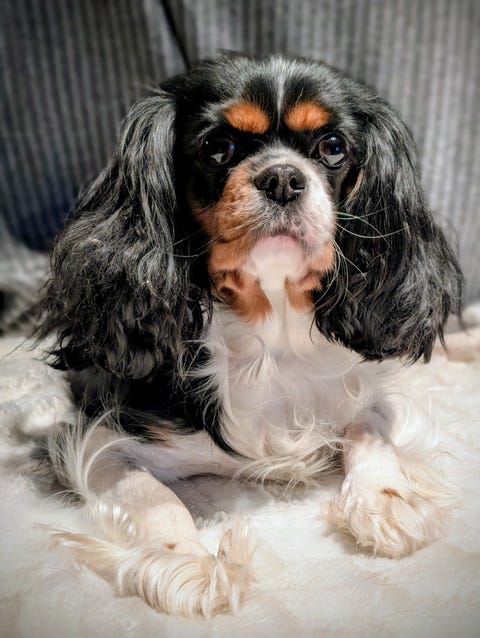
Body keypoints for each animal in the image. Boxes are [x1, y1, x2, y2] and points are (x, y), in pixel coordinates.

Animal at [36, 53, 463, 617]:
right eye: (218, 148)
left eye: (333, 147)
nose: (282, 177)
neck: (270, 332)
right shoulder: (100, 436)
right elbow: (153, 498)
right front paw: (189, 563)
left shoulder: (366, 394)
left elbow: (369, 432)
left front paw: (386, 501)